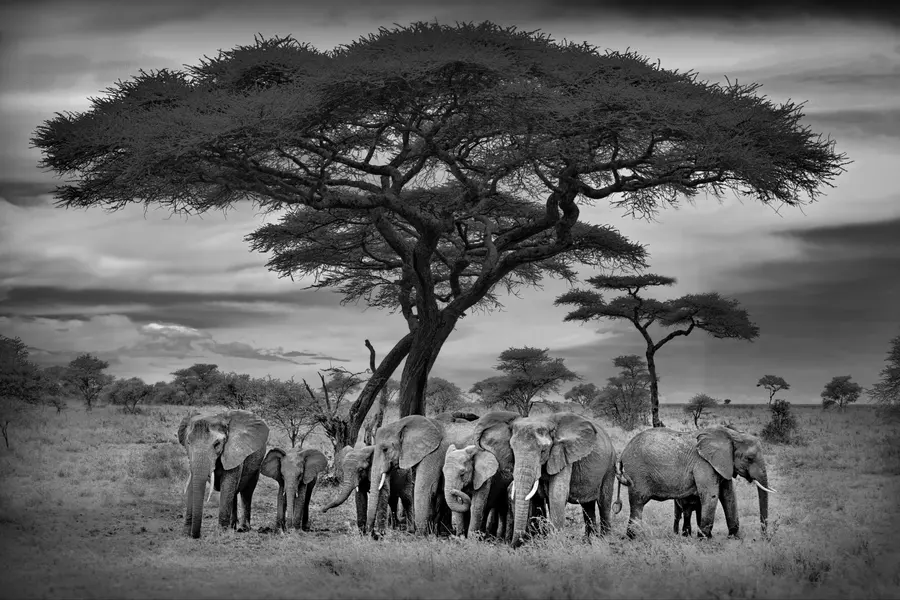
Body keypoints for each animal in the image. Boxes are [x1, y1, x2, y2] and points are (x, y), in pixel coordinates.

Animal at [177, 409, 269, 538]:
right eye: (188, 442)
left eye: (217, 444)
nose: (196, 535)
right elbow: (192, 483)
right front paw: (185, 533)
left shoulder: (234, 452)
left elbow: (228, 483)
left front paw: (220, 534)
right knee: (234, 492)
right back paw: (232, 526)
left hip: (257, 464)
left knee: (247, 491)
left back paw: (242, 528)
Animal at [474, 411, 618, 548]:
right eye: (513, 450)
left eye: (543, 451)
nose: (511, 545)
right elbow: (537, 498)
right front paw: (539, 543)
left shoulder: (562, 453)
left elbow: (557, 495)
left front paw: (556, 544)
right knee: (587, 506)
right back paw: (589, 541)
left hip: (610, 466)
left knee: (604, 502)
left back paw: (605, 540)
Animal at [615, 426, 776, 539]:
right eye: (749, 458)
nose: (764, 537)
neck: (732, 434)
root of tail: (622, 453)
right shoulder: (704, 464)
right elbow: (711, 495)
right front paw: (704, 538)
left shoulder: (722, 464)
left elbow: (729, 495)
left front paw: (734, 537)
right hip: (636, 473)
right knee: (637, 502)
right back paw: (633, 537)